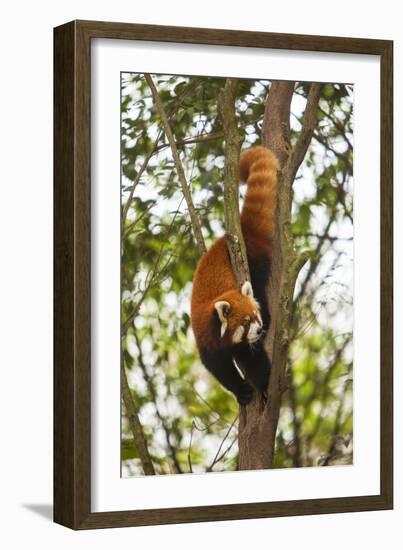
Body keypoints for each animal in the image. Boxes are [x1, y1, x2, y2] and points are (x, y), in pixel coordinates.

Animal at [191, 147, 280, 406]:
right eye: (245, 322)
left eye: (255, 315)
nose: (259, 330)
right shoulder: (207, 341)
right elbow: (220, 369)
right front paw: (241, 391)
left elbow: (254, 359)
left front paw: (263, 386)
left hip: (256, 264)